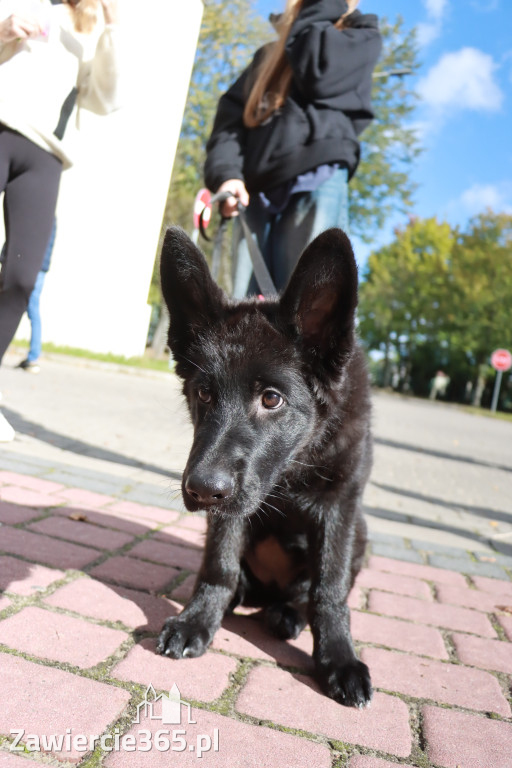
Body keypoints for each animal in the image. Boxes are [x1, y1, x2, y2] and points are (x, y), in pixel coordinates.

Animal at [156, 226, 372, 708]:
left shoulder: (341, 504)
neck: (289, 472)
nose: (202, 489)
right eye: (203, 393)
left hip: (362, 533)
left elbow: (329, 590)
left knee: (305, 593)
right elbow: (219, 565)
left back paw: (286, 613)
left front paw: (339, 659)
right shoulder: (227, 511)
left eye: (271, 398)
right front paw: (198, 620)